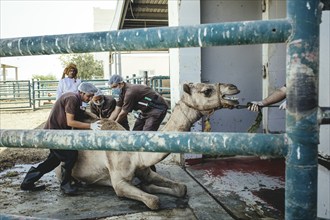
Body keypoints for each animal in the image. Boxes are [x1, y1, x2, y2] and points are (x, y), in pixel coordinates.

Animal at [54, 81, 240, 209]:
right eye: (207, 91)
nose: (233, 87)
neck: (134, 154)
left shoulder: (145, 170)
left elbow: (181, 188)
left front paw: (147, 185)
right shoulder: (119, 182)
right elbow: (153, 201)